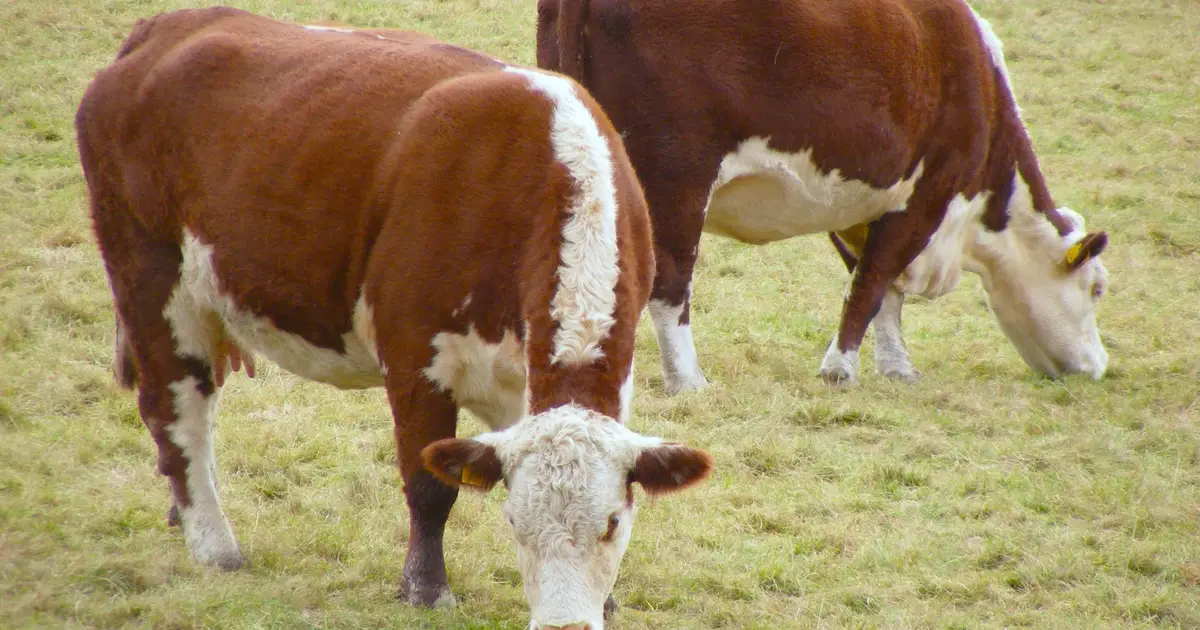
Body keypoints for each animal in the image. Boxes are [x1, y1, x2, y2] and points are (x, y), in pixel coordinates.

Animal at [76, 8, 713, 629]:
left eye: (611, 523)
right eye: (514, 522)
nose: (565, 625)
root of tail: (159, 32)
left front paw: (606, 601)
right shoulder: (414, 357)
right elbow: (429, 486)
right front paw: (426, 588)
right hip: (151, 280)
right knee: (178, 411)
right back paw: (214, 544)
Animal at [537, 0, 1111, 391]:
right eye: (1097, 288)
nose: (1098, 366)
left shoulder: (859, 205)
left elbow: (878, 287)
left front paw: (896, 366)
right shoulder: (928, 194)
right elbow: (873, 284)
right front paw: (841, 368)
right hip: (677, 178)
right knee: (671, 282)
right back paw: (688, 380)